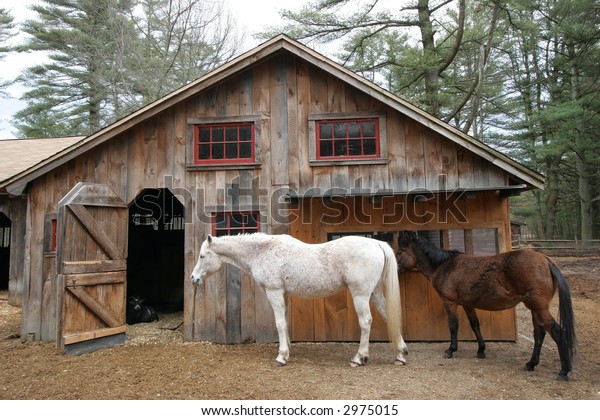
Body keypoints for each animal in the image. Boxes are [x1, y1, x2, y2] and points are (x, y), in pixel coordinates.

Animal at [191, 233, 408, 368]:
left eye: (202, 256)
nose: (194, 278)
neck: (262, 251)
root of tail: (377, 244)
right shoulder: (284, 294)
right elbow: (285, 323)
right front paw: (287, 350)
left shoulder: (274, 292)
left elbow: (279, 323)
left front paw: (281, 356)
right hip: (375, 293)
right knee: (389, 317)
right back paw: (400, 354)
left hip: (360, 295)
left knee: (366, 322)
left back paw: (359, 357)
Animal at [398, 230, 576, 380]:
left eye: (399, 252)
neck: (445, 267)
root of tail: (546, 261)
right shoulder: (467, 304)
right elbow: (475, 325)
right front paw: (481, 350)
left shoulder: (450, 302)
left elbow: (453, 325)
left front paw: (451, 350)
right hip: (535, 309)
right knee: (539, 333)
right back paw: (531, 364)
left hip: (538, 307)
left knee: (557, 332)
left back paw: (564, 371)